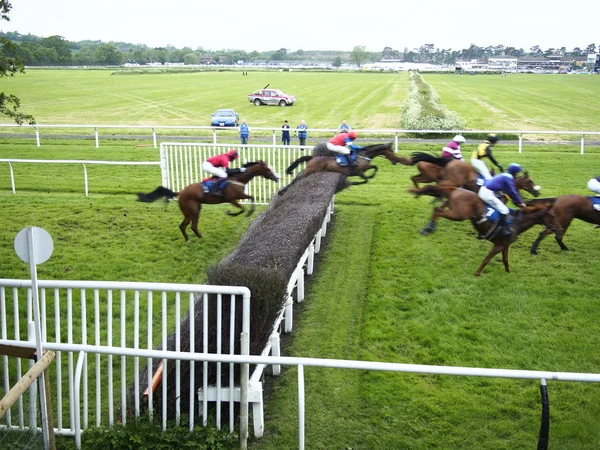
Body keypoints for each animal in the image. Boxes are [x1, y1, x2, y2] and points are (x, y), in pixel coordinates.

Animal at [136, 161, 278, 241]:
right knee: (184, 226)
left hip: (196, 210)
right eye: (268, 169)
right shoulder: (232, 198)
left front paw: (249, 212)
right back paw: (190, 239)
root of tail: (180, 193)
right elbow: (242, 209)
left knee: (191, 226)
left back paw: (197, 237)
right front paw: (232, 213)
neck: (237, 178)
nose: (277, 178)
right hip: (191, 211)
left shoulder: (240, 195)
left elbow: (252, 198)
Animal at [408, 185, 552, 276]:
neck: (517, 222)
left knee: (438, 209)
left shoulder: (505, 244)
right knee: (437, 210)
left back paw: (427, 228)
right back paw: (429, 228)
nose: (554, 228)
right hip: (458, 214)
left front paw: (508, 272)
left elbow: (505, 260)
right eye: (552, 215)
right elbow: (486, 259)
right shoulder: (498, 244)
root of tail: (455, 188)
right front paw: (477, 273)